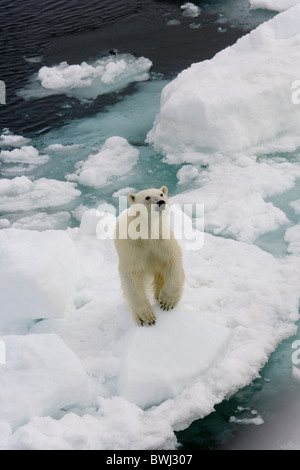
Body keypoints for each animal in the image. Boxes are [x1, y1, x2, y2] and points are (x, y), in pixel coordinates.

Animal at [115, 185, 184, 324]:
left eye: (161, 194)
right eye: (147, 197)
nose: (161, 202)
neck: (148, 233)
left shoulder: (163, 241)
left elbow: (173, 262)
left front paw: (167, 301)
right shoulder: (132, 248)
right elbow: (131, 275)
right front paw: (147, 317)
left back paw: (158, 296)